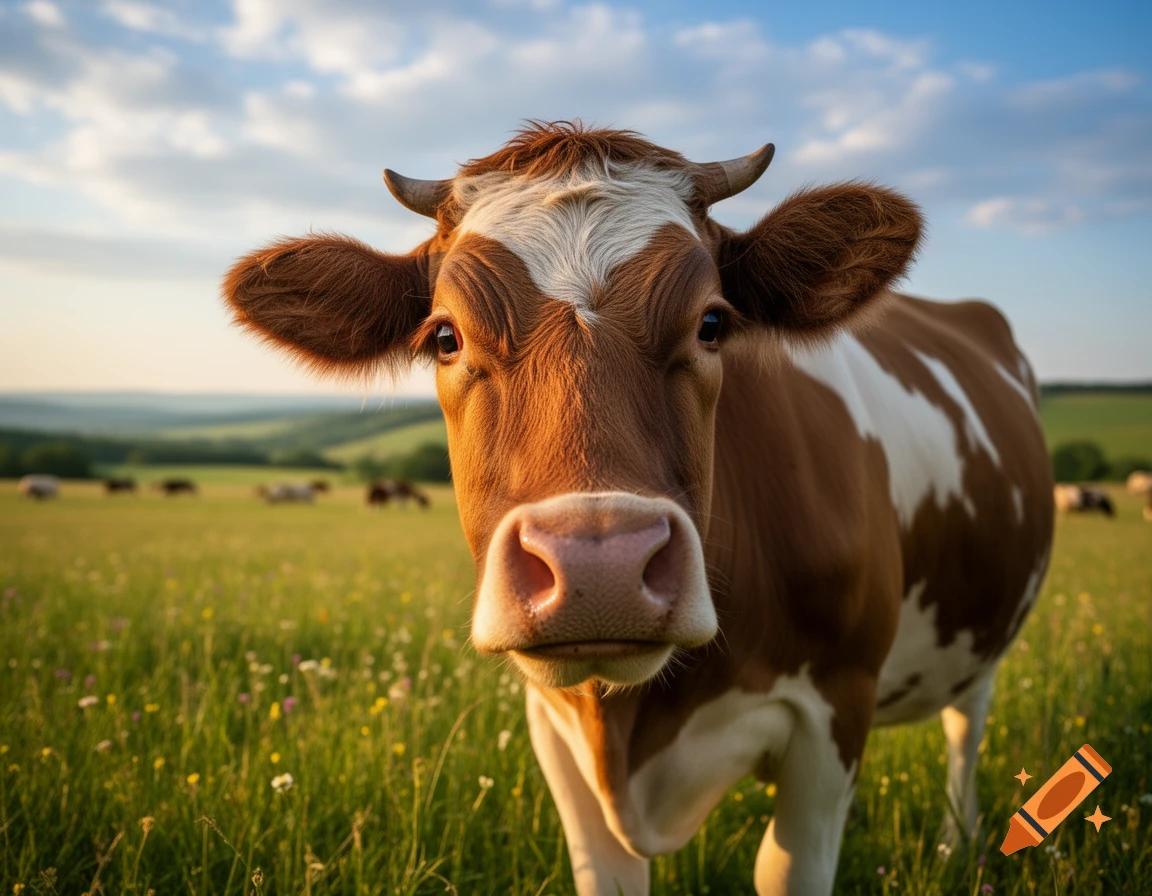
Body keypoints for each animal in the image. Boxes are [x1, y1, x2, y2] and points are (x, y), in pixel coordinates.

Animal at [223, 122, 1054, 896]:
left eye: (713, 323)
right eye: (445, 337)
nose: (601, 566)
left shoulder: (836, 706)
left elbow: (786, 867)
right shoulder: (554, 725)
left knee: (966, 727)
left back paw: (957, 845)